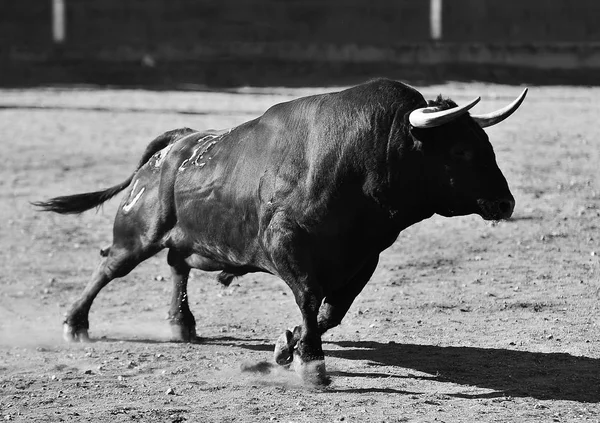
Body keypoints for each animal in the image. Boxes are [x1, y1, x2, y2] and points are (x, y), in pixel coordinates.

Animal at [35, 79, 528, 388]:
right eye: (461, 150)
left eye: (485, 145)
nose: (505, 203)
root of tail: (178, 144)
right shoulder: (286, 247)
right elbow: (310, 300)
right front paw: (310, 364)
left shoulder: (364, 259)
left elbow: (331, 312)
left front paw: (284, 346)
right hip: (137, 235)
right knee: (109, 268)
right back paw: (75, 324)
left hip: (195, 241)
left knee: (177, 264)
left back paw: (182, 325)